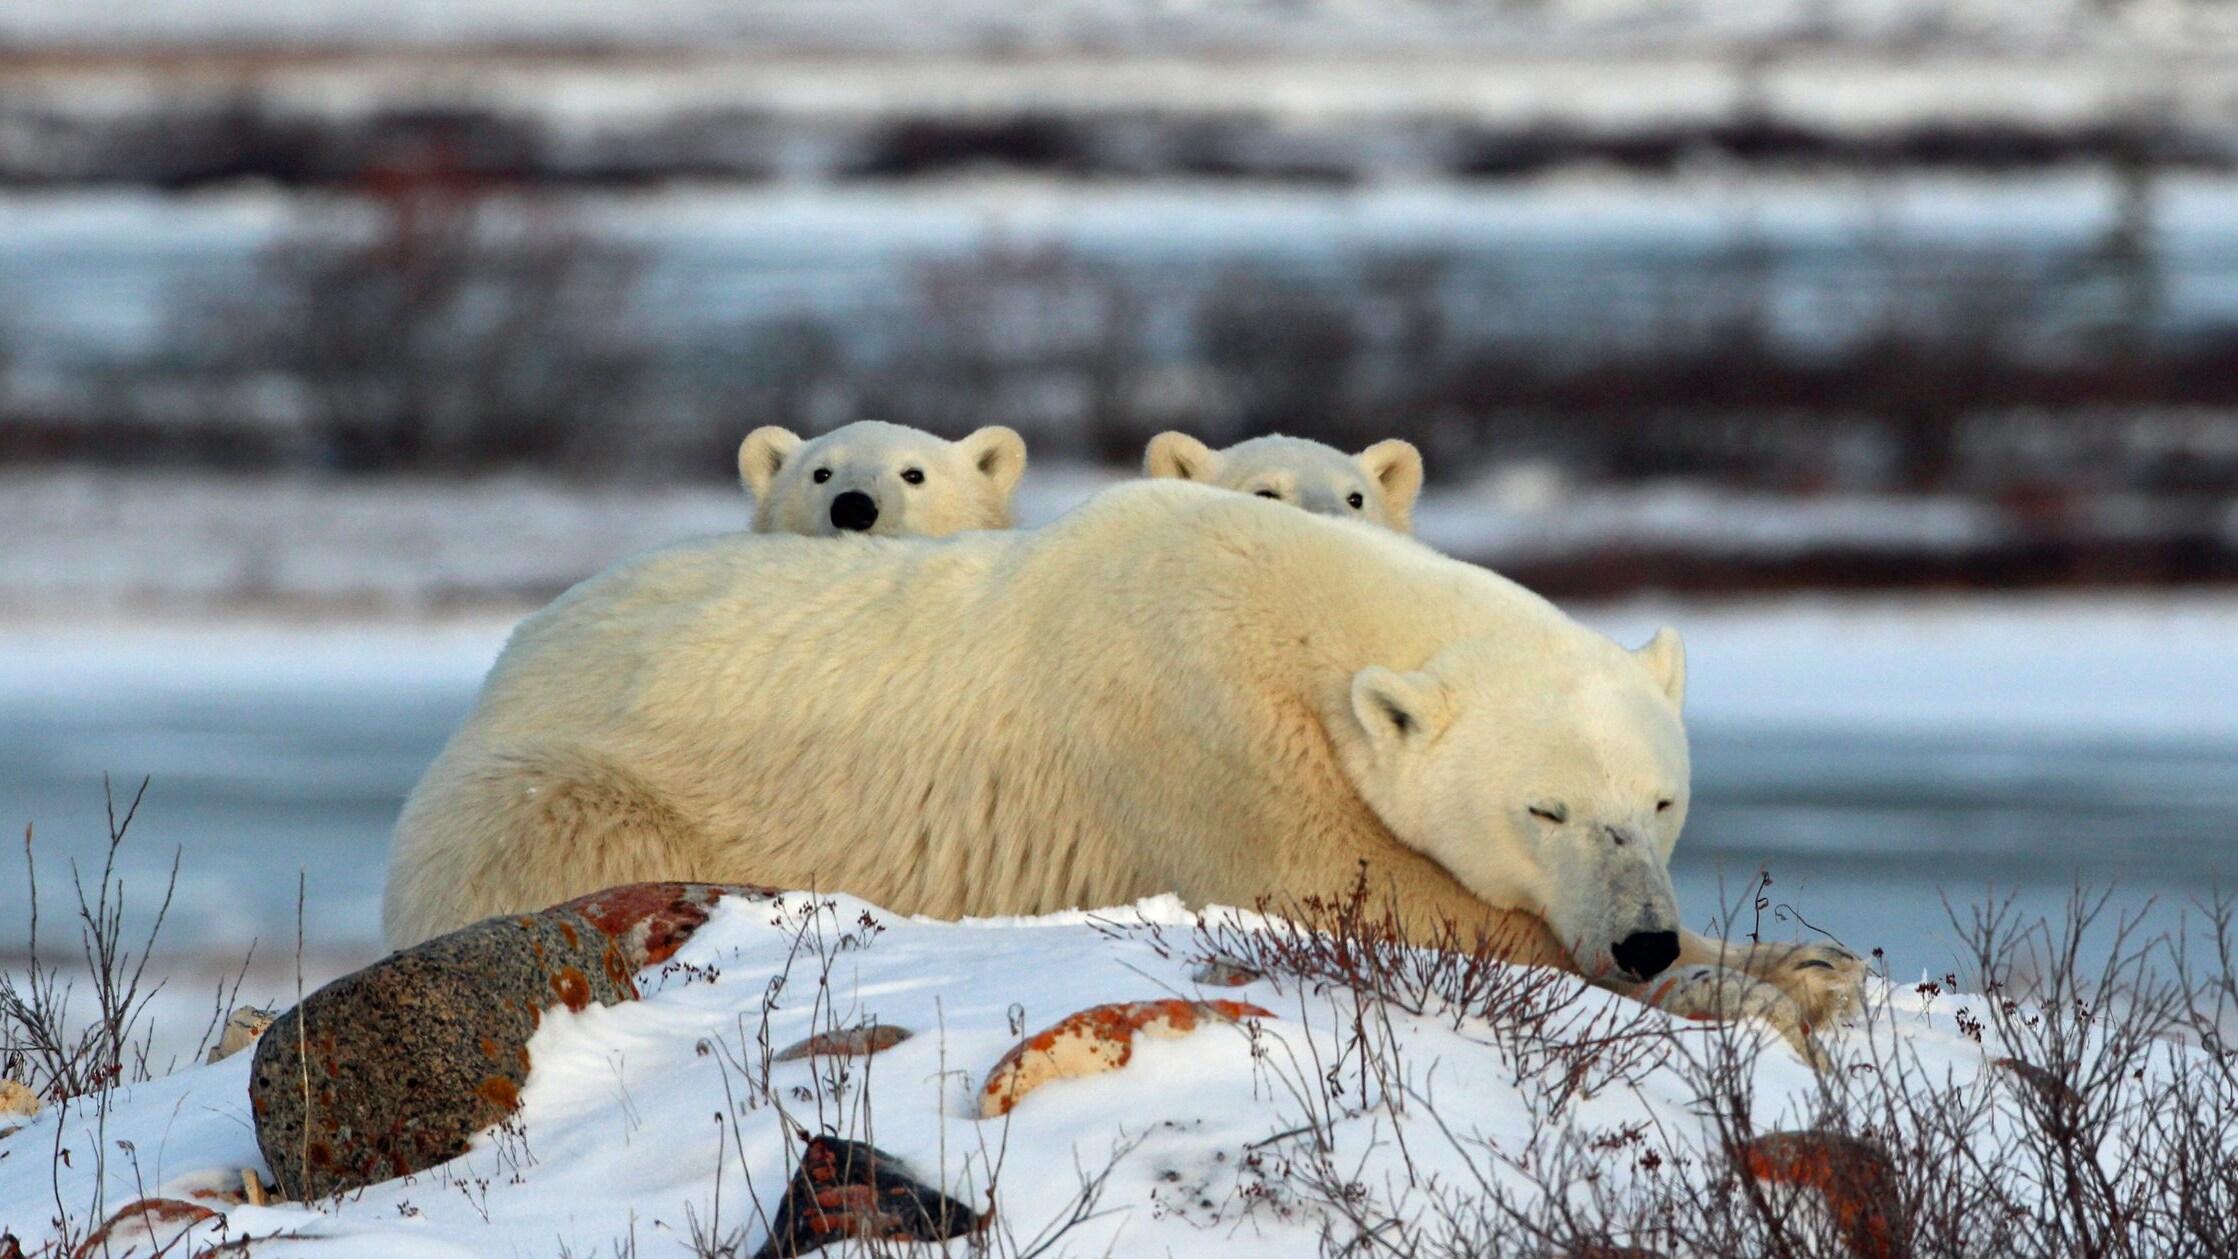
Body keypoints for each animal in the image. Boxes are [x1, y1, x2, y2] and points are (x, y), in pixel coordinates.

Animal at [381, 480, 1862, 1033]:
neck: (1297, 614)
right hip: (559, 784)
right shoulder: (1200, 737)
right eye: (1543, 807)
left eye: (1658, 799)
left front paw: (1806, 959)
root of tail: (506, 654)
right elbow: (1389, 902)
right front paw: (1753, 991)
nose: (1645, 937)